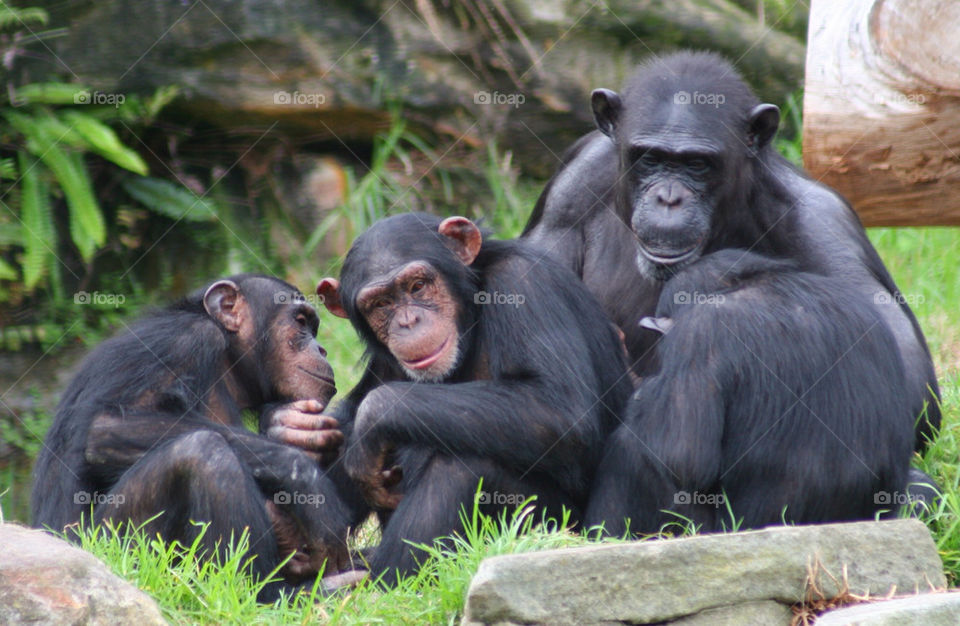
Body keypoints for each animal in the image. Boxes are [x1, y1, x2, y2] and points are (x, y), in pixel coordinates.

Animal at [33, 272, 356, 600]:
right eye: (301, 322)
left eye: (312, 328)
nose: (321, 349)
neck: (227, 358)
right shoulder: (184, 341)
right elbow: (105, 428)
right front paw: (307, 482)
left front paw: (289, 426)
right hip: (113, 549)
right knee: (204, 455)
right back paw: (269, 595)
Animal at [316, 212, 632, 584]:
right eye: (381, 304)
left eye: (417, 286)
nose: (408, 321)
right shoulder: (384, 363)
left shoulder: (522, 283)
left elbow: (559, 410)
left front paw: (374, 415)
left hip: (562, 527)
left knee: (462, 467)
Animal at [520, 48, 940, 448]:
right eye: (650, 158)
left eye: (697, 164)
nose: (668, 198)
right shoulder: (570, 189)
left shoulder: (824, 224)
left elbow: (907, 378)